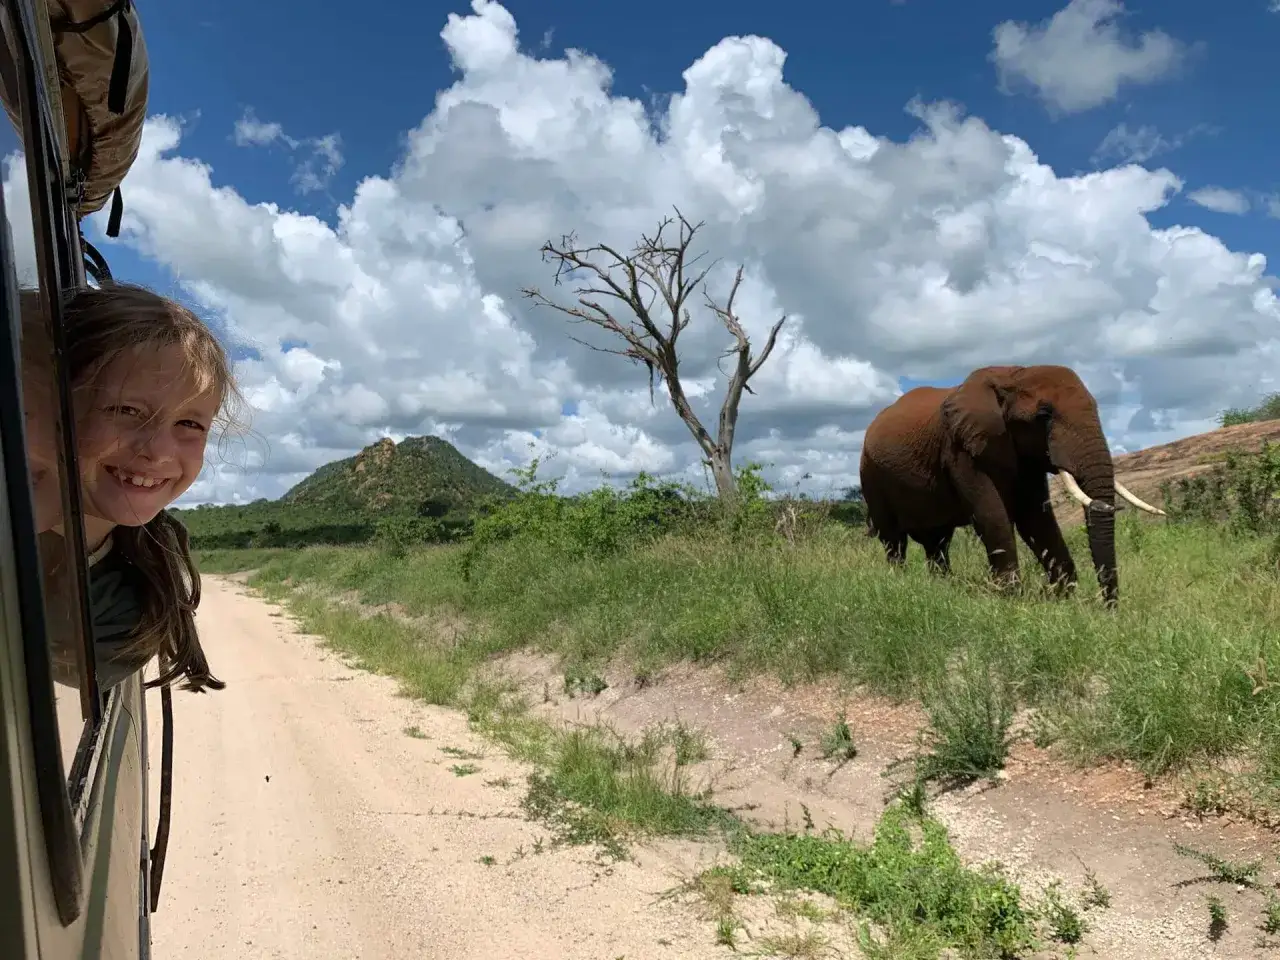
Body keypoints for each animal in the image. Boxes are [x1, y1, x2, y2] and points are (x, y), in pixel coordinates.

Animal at [858, 364, 1165, 607]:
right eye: (1044, 414)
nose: (1109, 610)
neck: (1013, 375)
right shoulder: (961, 450)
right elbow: (992, 514)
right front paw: (1010, 596)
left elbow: (1036, 518)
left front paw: (1060, 596)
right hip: (870, 475)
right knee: (894, 540)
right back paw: (899, 582)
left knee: (938, 543)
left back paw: (942, 588)